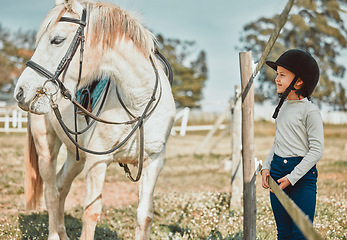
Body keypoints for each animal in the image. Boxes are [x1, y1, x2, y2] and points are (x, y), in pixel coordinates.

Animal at [13, 0, 177, 239]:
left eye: (57, 39)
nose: (21, 91)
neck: (138, 103)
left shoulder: (154, 162)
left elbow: (144, 216)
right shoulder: (97, 163)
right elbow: (91, 213)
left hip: (76, 156)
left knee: (61, 187)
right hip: (46, 148)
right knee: (51, 192)